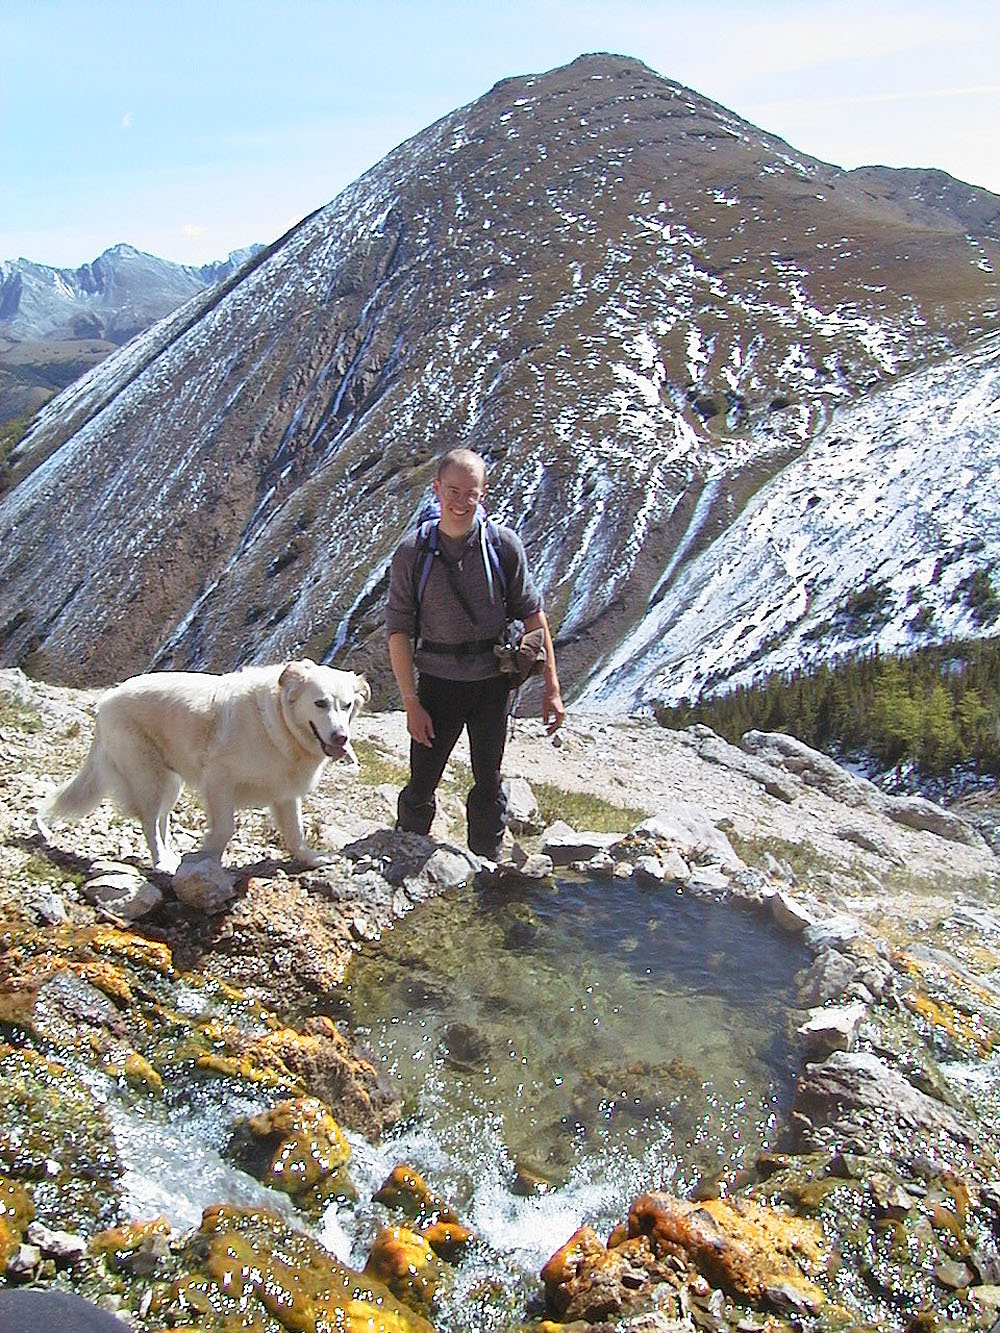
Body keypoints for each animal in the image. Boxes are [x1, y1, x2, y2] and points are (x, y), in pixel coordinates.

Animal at [38, 660, 370, 873]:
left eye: (346, 705)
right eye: (320, 703)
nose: (341, 737)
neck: (277, 723)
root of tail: (108, 697)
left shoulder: (285, 793)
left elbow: (296, 831)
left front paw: (310, 858)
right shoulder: (219, 779)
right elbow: (225, 828)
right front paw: (206, 857)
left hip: (170, 782)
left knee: (161, 821)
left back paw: (170, 856)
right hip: (149, 777)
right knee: (149, 823)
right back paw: (162, 862)